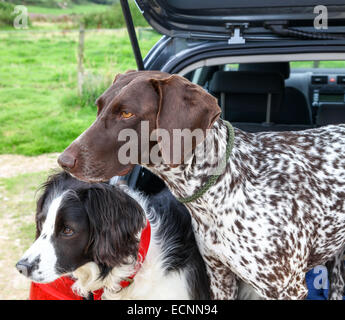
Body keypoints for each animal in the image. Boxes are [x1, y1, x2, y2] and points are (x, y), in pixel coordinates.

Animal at [57, 70, 344, 300]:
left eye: (127, 113)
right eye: (99, 108)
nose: (63, 160)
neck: (224, 185)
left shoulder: (287, 288)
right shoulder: (220, 276)